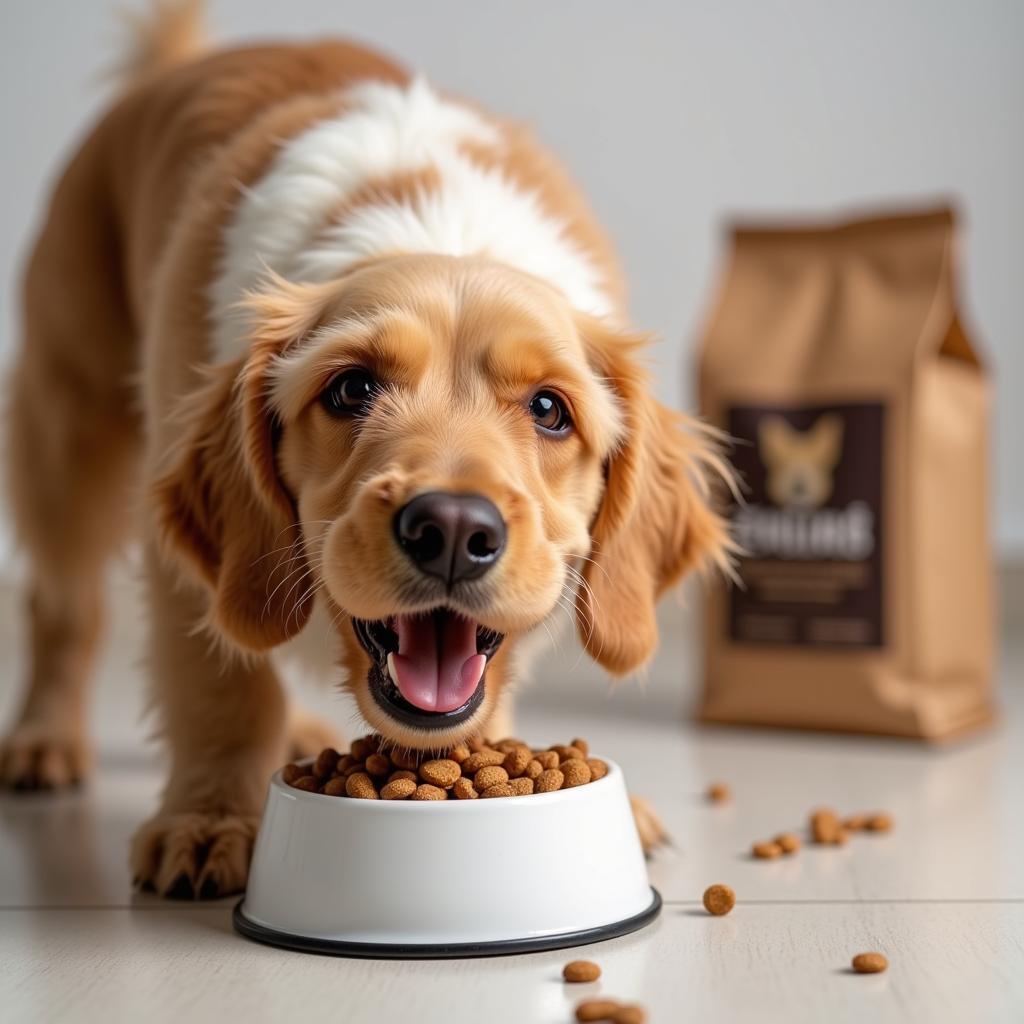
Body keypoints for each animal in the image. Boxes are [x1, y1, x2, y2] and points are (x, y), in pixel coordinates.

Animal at [4, 0, 733, 897]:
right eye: (351, 389)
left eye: (550, 409)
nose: (452, 531)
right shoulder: (179, 556)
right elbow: (221, 687)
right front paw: (208, 820)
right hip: (65, 430)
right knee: (62, 607)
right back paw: (43, 738)